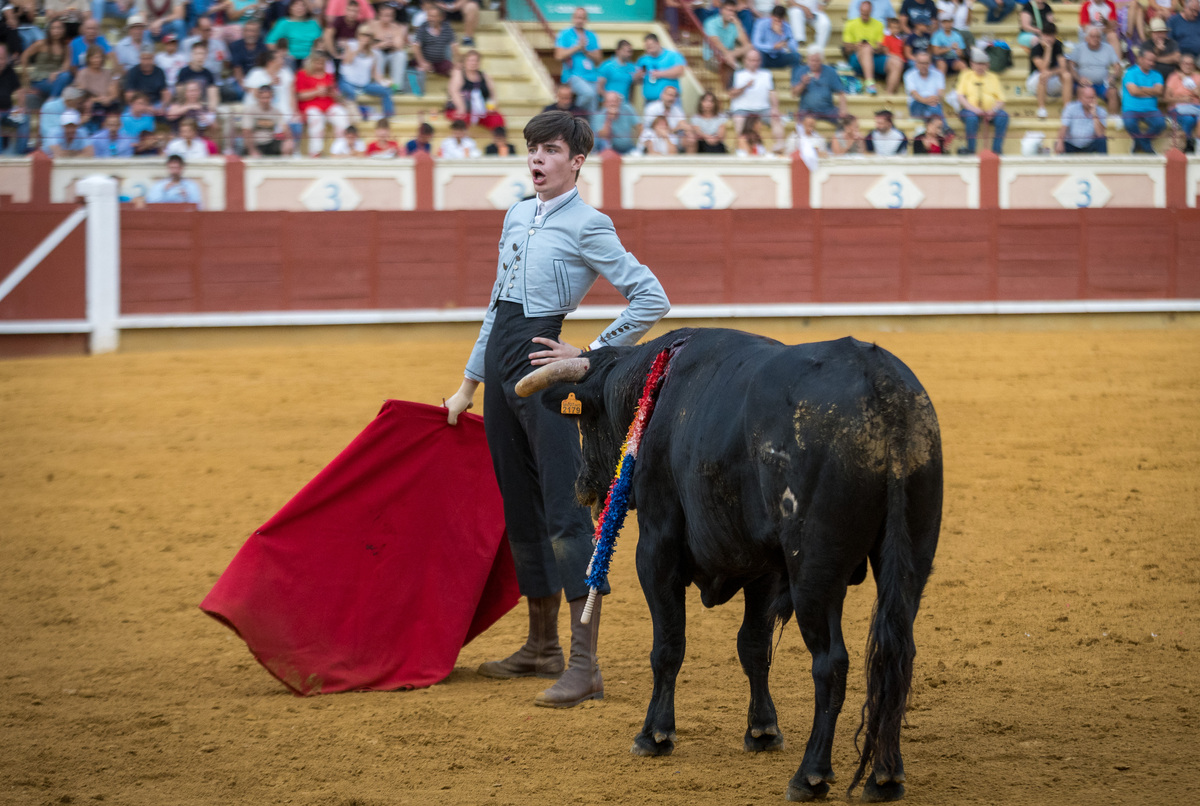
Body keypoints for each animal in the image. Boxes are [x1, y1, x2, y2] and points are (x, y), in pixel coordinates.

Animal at [518, 326, 945, 801]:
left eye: (585, 420)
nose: (584, 488)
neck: (657, 390)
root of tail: (882, 385)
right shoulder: (763, 567)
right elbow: (753, 645)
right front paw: (762, 730)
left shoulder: (656, 548)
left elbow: (668, 645)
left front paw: (655, 735)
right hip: (910, 563)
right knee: (897, 653)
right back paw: (885, 775)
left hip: (815, 572)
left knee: (831, 662)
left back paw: (810, 775)